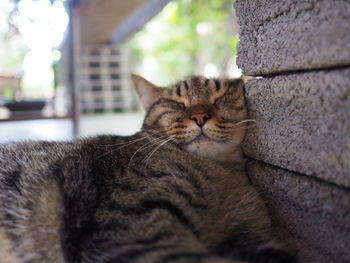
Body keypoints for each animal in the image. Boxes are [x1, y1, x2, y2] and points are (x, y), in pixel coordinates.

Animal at [0, 75, 296, 262]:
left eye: (219, 96)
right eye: (177, 103)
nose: (199, 116)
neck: (219, 174)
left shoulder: (248, 234)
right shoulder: (132, 230)